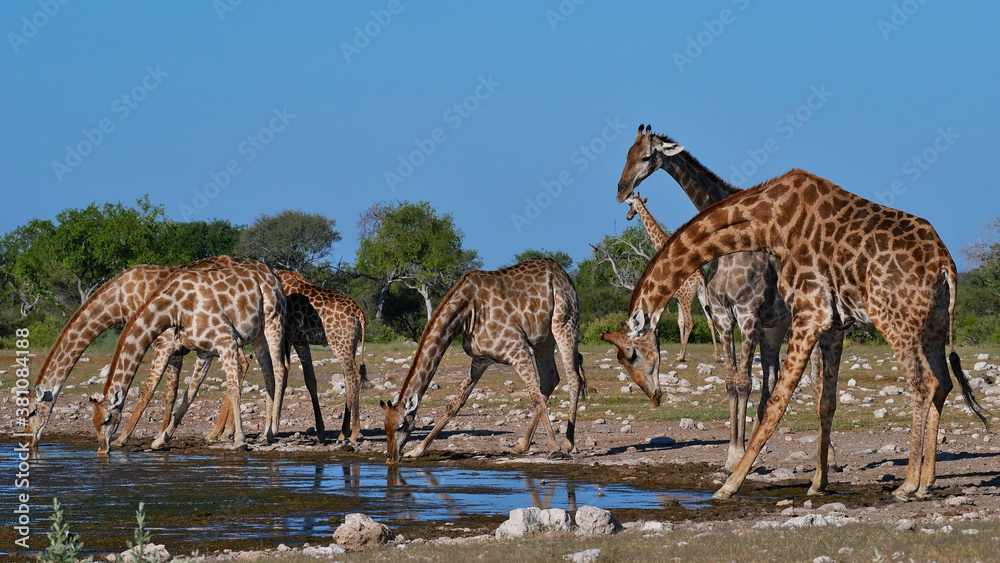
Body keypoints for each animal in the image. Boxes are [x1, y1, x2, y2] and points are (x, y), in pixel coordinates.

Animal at [25, 255, 237, 447]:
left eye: (31, 412)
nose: (29, 440)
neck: (118, 301)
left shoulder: (165, 343)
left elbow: (149, 390)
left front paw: (124, 438)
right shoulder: (173, 349)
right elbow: (170, 393)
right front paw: (160, 436)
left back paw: (222, 433)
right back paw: (223, 432)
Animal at [88, 260, 288, 453]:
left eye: (107, 419)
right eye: (94, 421)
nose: (102, 449)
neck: (175, 309)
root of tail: (274, 276)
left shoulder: (226, 341)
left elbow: (233, 389)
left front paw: (239, 440)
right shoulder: (204, 351)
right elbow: (189, 393)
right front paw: (159, 441)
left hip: (274, 321)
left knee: (279, 368)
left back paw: (270, 433)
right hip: (258, 335)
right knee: (268, 375)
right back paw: (266, 434)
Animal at [379, 258, 585, 463]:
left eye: (401, 426)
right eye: (385, 426)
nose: (391, 456)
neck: (465, 315)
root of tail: (562, 272)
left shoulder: (518, 349)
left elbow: (535, 398)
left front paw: (554, 448)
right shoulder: (480, 360)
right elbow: (455, 404)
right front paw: (416, 450)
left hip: (565, 322)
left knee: (574, 377)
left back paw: (566, 444)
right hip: (544, 339)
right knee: (550, 379)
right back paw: (521, 446)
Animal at [623, 190, 719, 362]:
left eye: (630, 205)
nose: (628, 216)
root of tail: (701, 279)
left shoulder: (670, 296)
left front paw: (680, 354)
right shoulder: (677, 299)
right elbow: (679, 322)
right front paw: (681, 352)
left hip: (688, 298)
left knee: (691, 322)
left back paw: (681, 357)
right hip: (702, 296)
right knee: (709, 319)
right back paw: (716, 355)